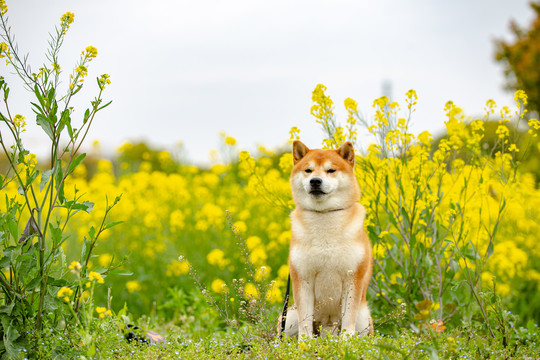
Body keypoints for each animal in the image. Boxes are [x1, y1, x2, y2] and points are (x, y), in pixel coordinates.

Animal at [280, 141, 374, 338]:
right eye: (308, 170)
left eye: (331, 170)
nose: (315, 180)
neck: (324, 217)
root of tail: (327, 332)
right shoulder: (303, 278)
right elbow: (305, 323)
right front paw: (304, 344)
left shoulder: (352, 277)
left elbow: (348, 320)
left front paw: (347, 342)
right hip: (288, 316)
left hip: (363, 318)